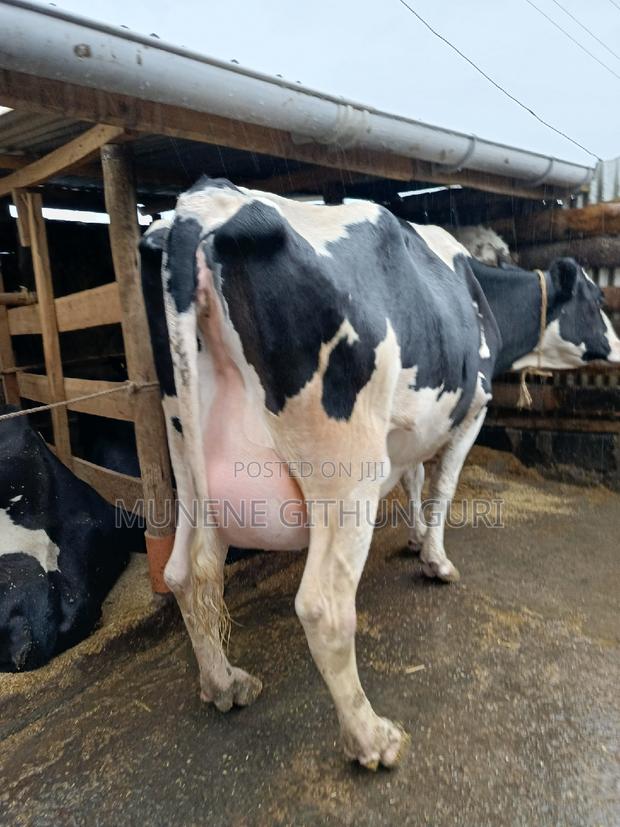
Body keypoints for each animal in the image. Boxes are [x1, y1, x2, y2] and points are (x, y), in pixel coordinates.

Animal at [139, 177, 620, 770]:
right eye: (597, 301)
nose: (618, 346)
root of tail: (207, 203)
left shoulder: (411, 426)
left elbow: (413, 479)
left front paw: (413, 541)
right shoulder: (472, 410)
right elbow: (442, 487)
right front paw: (436, 561)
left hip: (185, 446)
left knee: (185, 572)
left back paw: (225, 682)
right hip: (346, 469)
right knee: (323, 605)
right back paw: (371, 737)